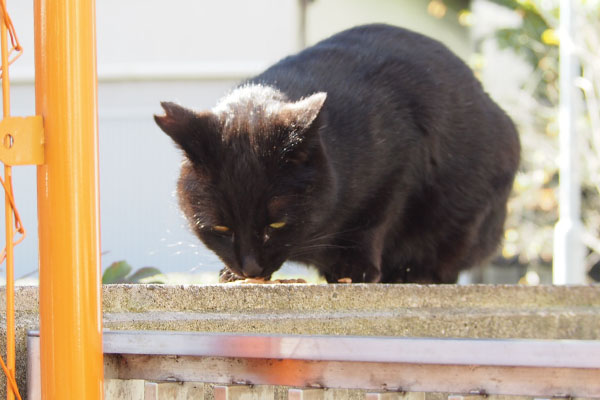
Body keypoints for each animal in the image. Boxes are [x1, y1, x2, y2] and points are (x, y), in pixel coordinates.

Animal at [156, 23, 520, 282]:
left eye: (277, 223)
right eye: (220, 229)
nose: (250, 269)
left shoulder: (398, 166)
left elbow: (375, 220)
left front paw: (354, 269)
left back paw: (413, 274)